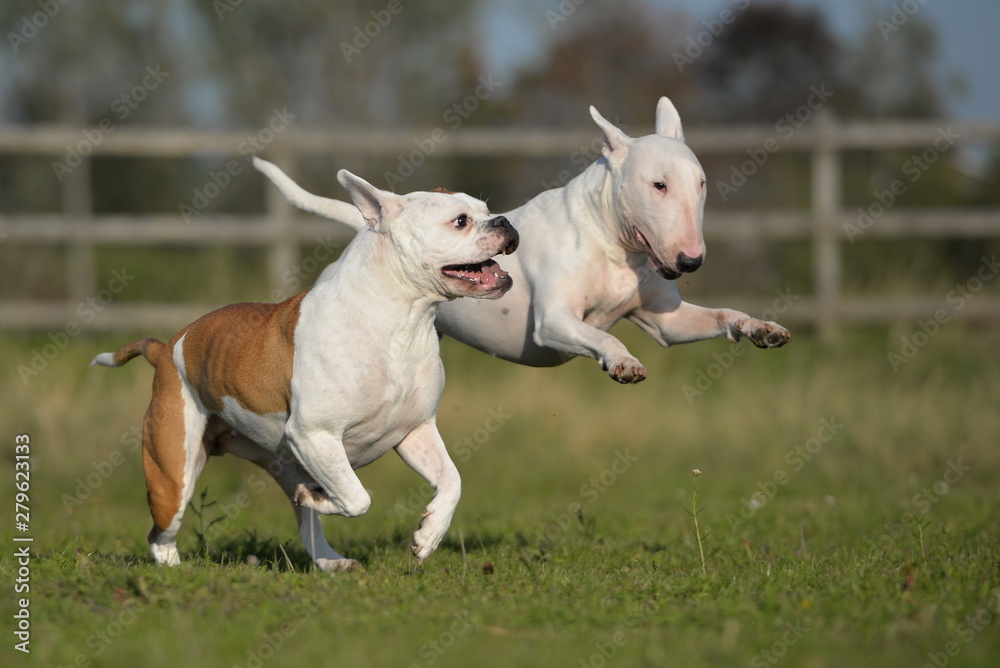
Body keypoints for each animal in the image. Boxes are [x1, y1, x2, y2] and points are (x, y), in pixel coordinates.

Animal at [92, 170, 516, 572]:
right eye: (459, 221)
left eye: (486, 208)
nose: (505, 222)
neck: (398, 319)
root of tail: (166, 349)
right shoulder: (316, 436)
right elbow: (357, 498)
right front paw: (321, 497)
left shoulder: (415, 431)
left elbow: (451, 481)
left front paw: (429, 534)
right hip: (173, 472)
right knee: (161, 531)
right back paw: (174, 569)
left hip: (280, 460)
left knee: (305, 524)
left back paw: (330, 561)